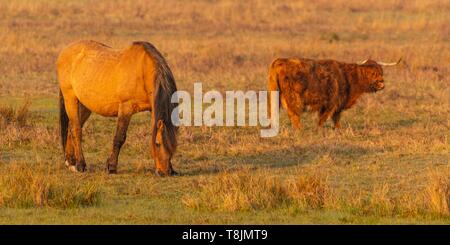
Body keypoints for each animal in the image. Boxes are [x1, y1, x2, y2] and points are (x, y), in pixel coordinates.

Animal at [58, 40, 179, 175]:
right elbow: (119, 137)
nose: (165, 172)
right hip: (70, 99)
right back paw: (80, 165)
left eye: (174, 145)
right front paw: (111, 166)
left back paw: (71, 162)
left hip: (85, 105)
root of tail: (65, 50)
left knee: (71, 128)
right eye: (157, 144)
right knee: (76, 130)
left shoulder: (153, 109)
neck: (143, 71)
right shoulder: (126, 108)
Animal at [268, 58, 400, 129]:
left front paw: (338, 129)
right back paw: (300, 129)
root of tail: (279, 61)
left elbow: (335, 118)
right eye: (372, 73)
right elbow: (324, 118)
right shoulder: (332, 102)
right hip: (293, 98)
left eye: (381, 72)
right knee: (294, 114)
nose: (382, 84)